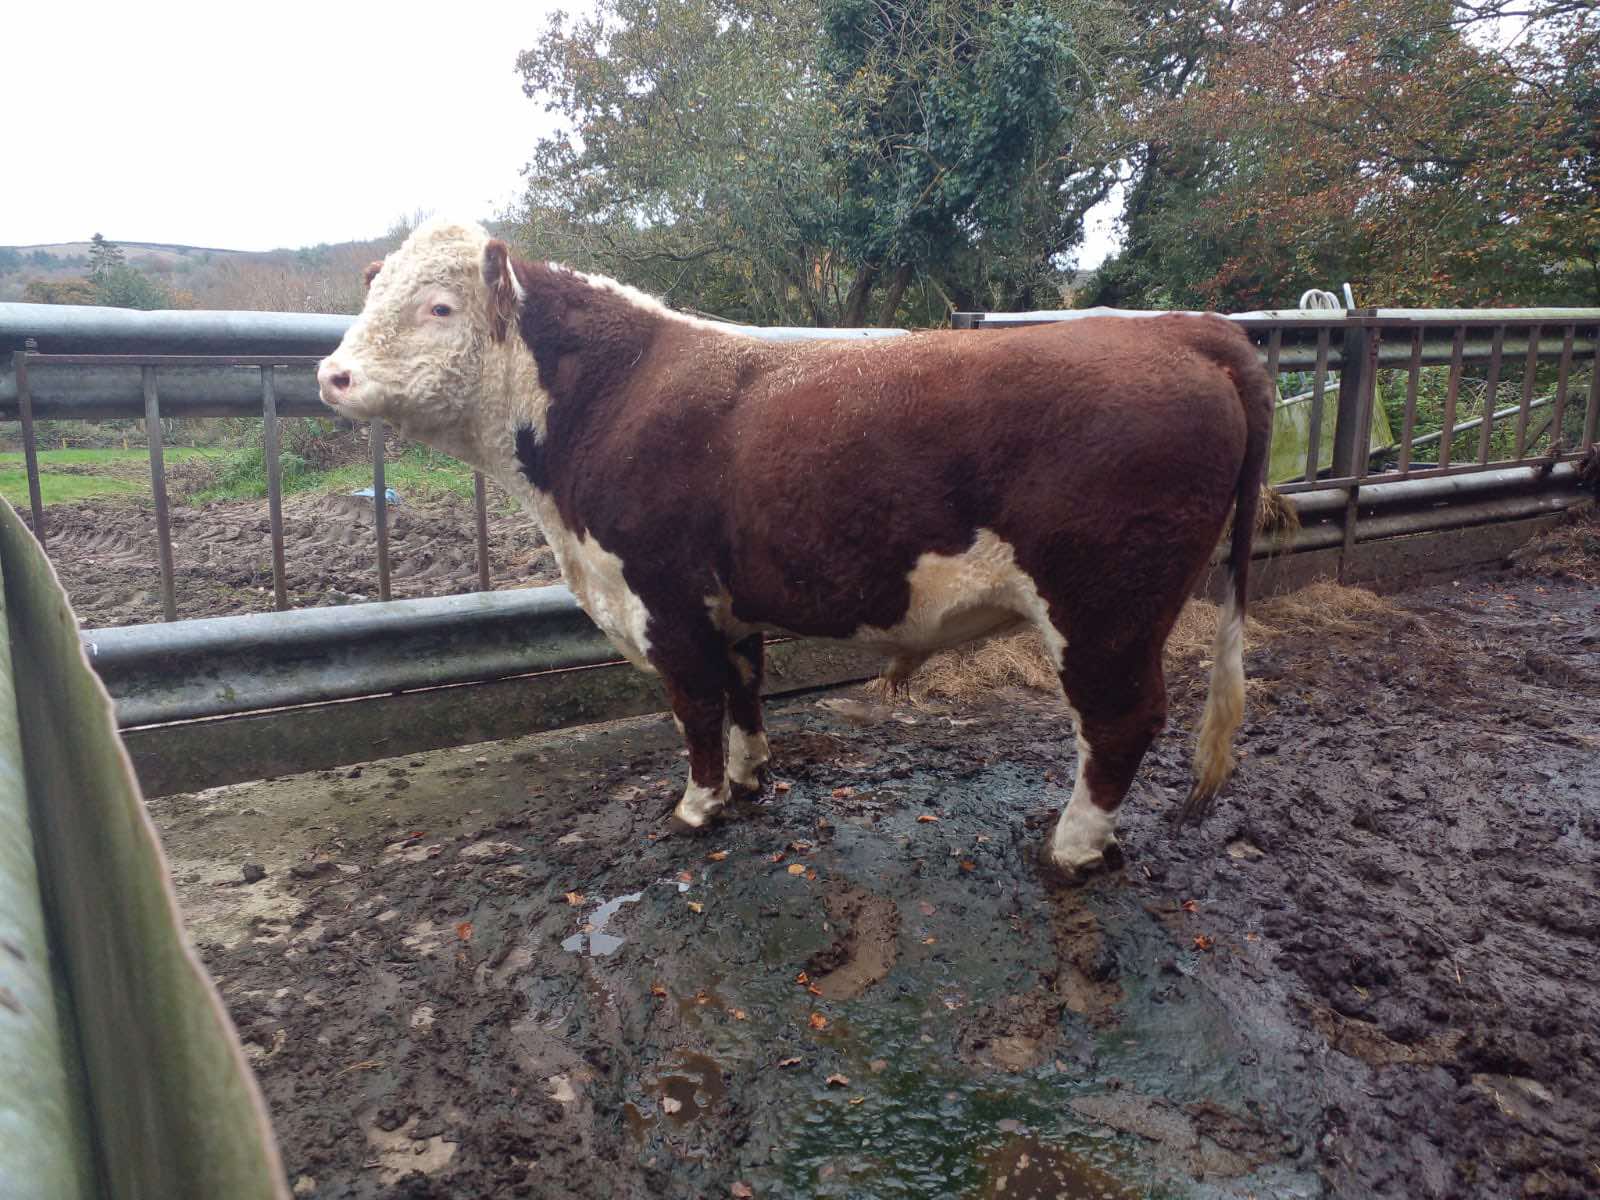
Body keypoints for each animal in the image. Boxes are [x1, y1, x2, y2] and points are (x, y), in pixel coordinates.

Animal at [318, 218, 1272, 876]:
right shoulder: (726, 600)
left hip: (1106, 607)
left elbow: (694, 703)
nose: (332, 374)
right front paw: (749, 778)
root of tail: (1186, 329)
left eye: (438, 307)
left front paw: (697, 805)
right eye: (369, 298)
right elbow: (745, 689)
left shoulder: (662, 594)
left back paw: (1071, 848)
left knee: (1119, 722)